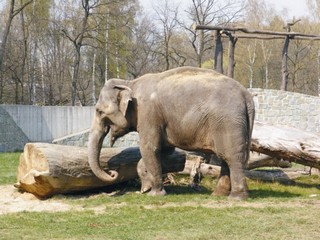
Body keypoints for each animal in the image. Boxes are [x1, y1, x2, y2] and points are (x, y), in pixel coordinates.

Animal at [88, 66, 255, 200]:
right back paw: (218, 195)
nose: (112, 172)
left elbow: (149, 148)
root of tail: (247, 96)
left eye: (99, 111)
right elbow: (164, 151)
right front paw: (146, 188)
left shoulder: (148, 115)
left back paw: (236, 198)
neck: (130, 83)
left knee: (232, 158)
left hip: (228, 122)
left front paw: (153, 194)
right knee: (225, 157)